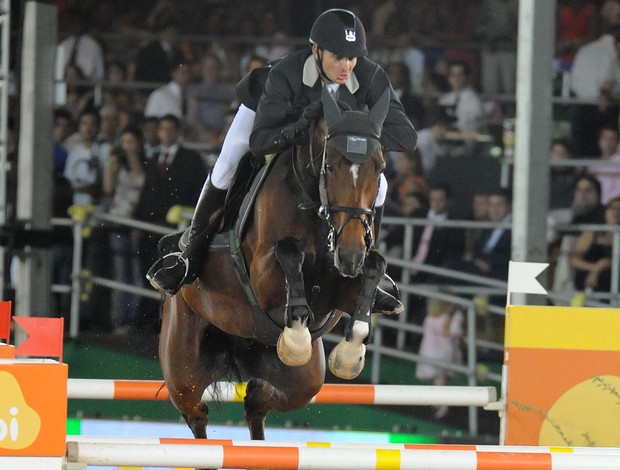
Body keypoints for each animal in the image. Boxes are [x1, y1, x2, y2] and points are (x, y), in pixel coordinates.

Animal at [157, 84, 390, 448]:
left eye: (379, 168)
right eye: (330, 165)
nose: (350, 253)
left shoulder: (338, 292)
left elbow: (374, 267)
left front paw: (349, 353)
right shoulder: (264, 282)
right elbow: (289, 251)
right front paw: (296, 333)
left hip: (303, 380)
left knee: (257, 399)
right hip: (184, 369)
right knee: (196, 414)